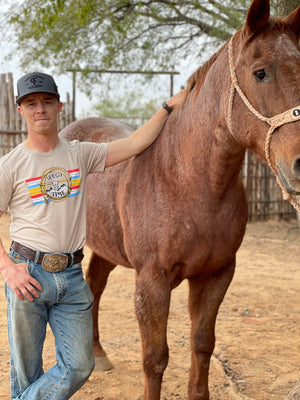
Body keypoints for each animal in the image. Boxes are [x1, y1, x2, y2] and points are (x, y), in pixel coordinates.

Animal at [60, 1, 300, 398]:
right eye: (261, 73)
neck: (189, 185)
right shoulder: (152, 281)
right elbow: (155, 358)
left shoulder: (216, 275)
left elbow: (202, 344)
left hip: (108, 247)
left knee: (96, 285)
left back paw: (99, 355)